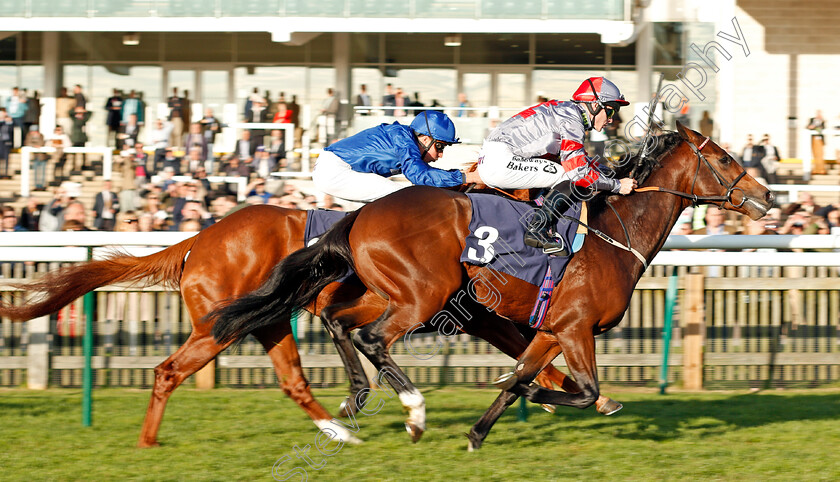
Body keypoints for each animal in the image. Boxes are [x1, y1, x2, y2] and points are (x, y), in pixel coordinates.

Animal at [0, 204, 612, 448]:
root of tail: (200, 238)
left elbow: (532, 345)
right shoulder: (469, 307)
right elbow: (528, 343)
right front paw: (561, 390)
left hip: (270, 322)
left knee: (293, 381)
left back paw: (341, 429)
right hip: (220, 324)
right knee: (169, 370)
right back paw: (149, 442)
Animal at [210, 123, 776, 448]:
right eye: (723, 159)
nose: (768, 195)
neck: (613, 235)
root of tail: (360, 215)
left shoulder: (550, 330)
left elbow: (524, 375)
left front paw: (480, 431)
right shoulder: (576, 328)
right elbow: (581, 389)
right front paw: (546, 395)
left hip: (382, 292)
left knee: (338, 322)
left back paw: (355, 398)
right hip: (423, 295)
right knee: (371, 337)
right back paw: (413, 412)